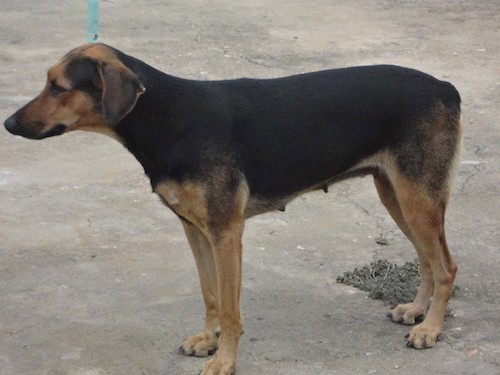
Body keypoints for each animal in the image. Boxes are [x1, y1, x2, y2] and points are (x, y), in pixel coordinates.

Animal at [3, 44, 462, 375]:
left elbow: (228, 305)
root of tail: (445, 87)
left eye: (58, 87)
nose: (8, 124)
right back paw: (416, 312)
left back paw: (430, 329)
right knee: (426, 259)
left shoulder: (226, 232)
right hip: (398, 195)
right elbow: (209, 294)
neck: (168, 118)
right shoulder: (195, 229)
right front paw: (208, 342)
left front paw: (224, 360)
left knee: (445, 266)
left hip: (417, 198)